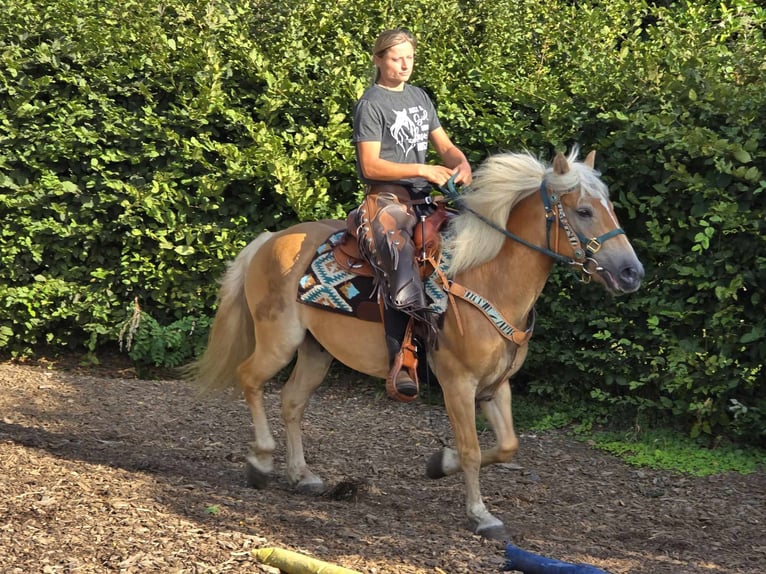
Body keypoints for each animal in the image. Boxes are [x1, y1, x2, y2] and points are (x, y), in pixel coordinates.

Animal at [189, 147, 644, 540]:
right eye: (583, 211)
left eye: (609, 206)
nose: (631, 273)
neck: (488, 277)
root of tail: (268, 240)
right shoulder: (458, 384)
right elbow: (472, 448)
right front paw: (480, 514)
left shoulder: (496, 386)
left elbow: (507, 446)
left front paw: (440, 465)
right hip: (278, 341)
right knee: (250, 379)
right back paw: (260, 461)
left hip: (315, 351)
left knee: (291, 401)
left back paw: (302, 475)